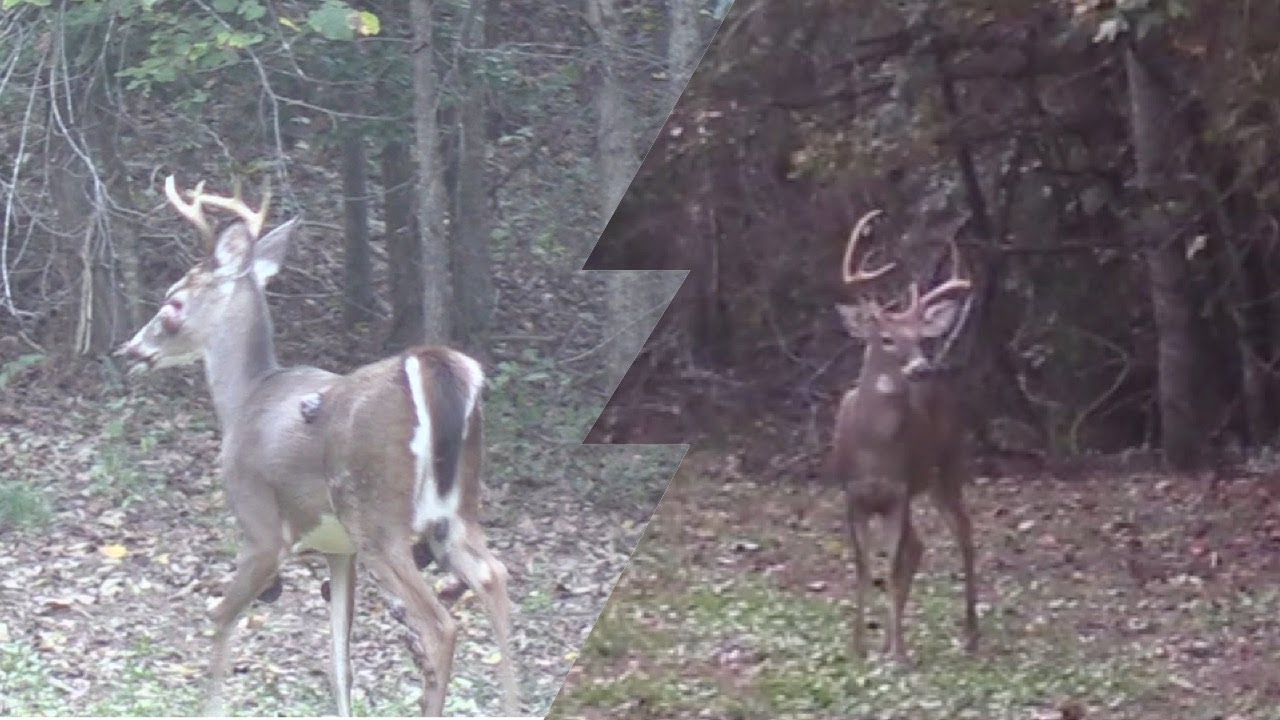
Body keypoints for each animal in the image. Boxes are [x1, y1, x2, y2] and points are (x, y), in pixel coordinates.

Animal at [115, 176, 517, 717]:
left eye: (172, 302)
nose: (132, 349)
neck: (246, 398)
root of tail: (436, 367)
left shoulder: (262, 527)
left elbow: (221, 619)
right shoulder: (336, 549)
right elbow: (339, 665)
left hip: (377, 518)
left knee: (440, 625)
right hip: (453, 513)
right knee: (495, 579)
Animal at [827, 209, 979, 663]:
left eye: (922, 339)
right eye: (888, 338)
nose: (923, 368)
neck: (873, 448)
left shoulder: (899, 491)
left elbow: (891, 569)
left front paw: (898, 652)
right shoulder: (853, 494)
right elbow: (864, 568)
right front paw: (859, 647)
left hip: (948, 465)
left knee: (963, 535)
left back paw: (971, 635)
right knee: (919, 546)